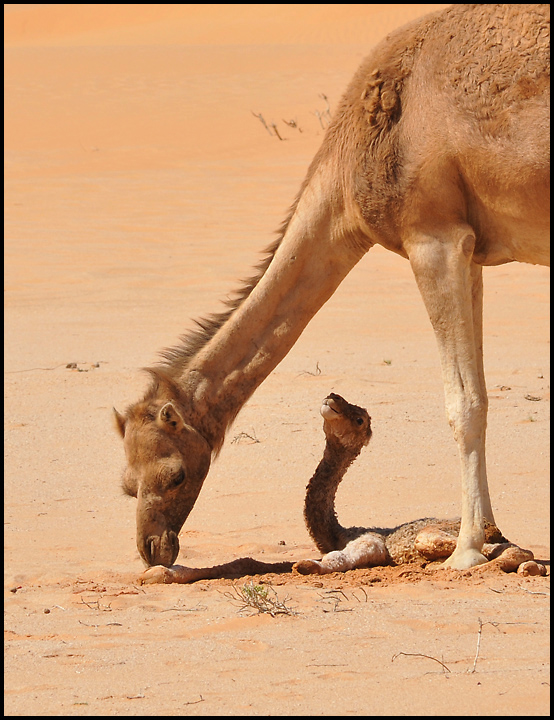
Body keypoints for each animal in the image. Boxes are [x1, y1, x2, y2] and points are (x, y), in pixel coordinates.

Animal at [113, 2, 548, 572]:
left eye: (175, 474)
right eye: (127, 485)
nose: (151, 547)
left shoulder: (434, 236)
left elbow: (464, 403)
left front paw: (468, 550)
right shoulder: (469, 249)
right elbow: (478, 393)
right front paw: (491, 538)